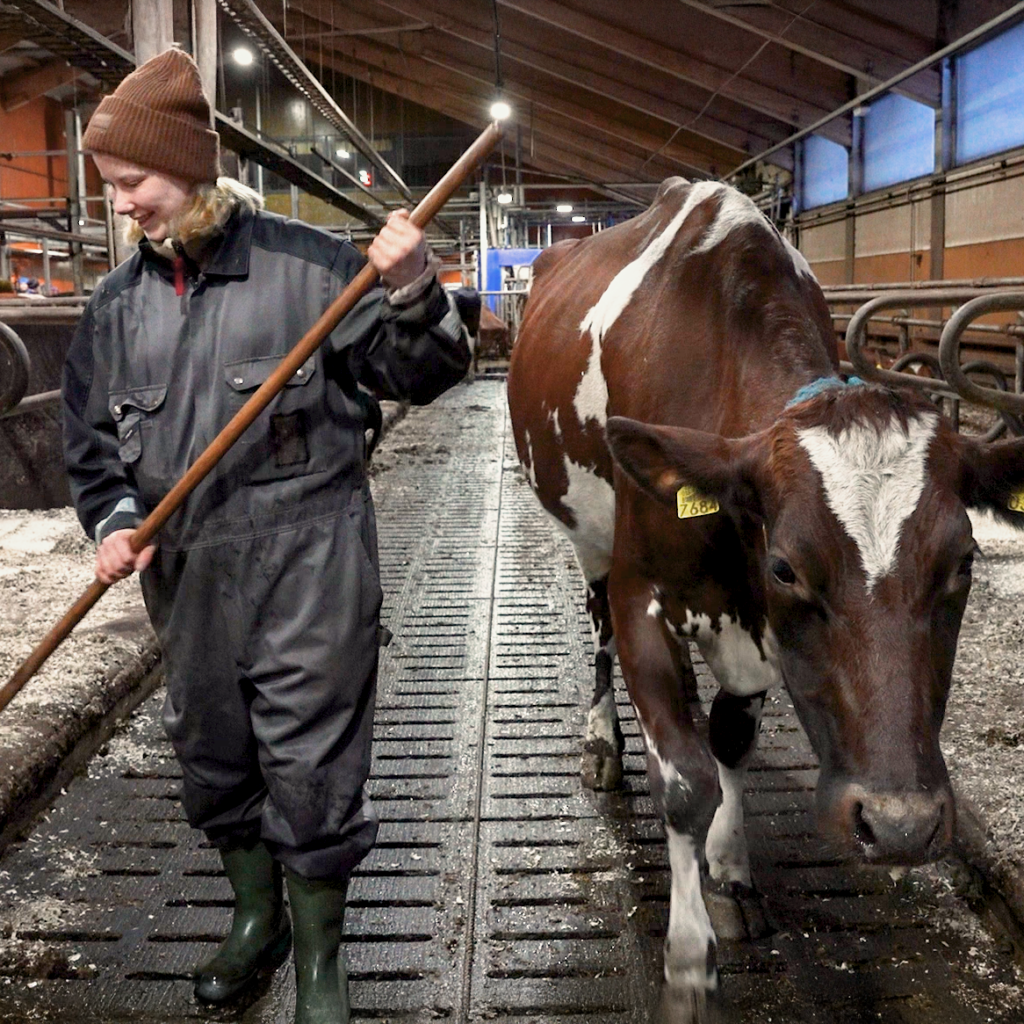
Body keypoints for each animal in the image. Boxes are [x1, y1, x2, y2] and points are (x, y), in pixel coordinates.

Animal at [503, 178, 1024, 1007]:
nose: (900, 825)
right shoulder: (644, 596)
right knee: (597, 632)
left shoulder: (758, 636)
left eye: (965, 561)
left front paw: (733, 875)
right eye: (786, 567)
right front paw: (689, 959)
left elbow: (728, 744)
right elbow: (685, 782)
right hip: (586, 536)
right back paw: (601, 744)